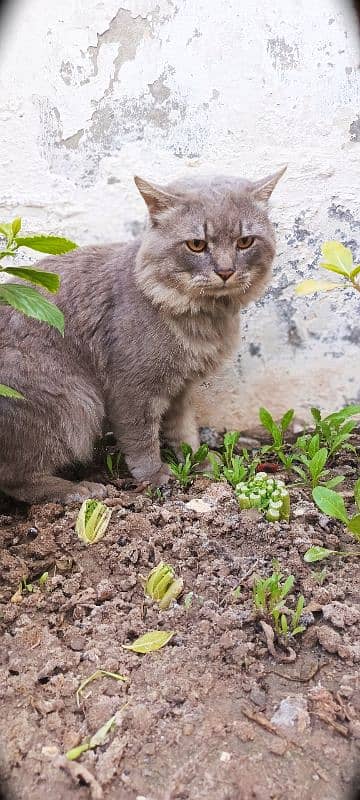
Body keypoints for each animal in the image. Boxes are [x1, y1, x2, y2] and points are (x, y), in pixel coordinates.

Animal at [0, 166, 286, 504]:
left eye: (245, 242)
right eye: (197, 245)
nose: (226, 271)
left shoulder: (181, 388)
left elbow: (184, 431)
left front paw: (198, 461)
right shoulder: (132, 388)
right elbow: (141, 438)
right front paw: (156, 476)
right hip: (73, 401)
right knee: (16, 478)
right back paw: (77, 489)